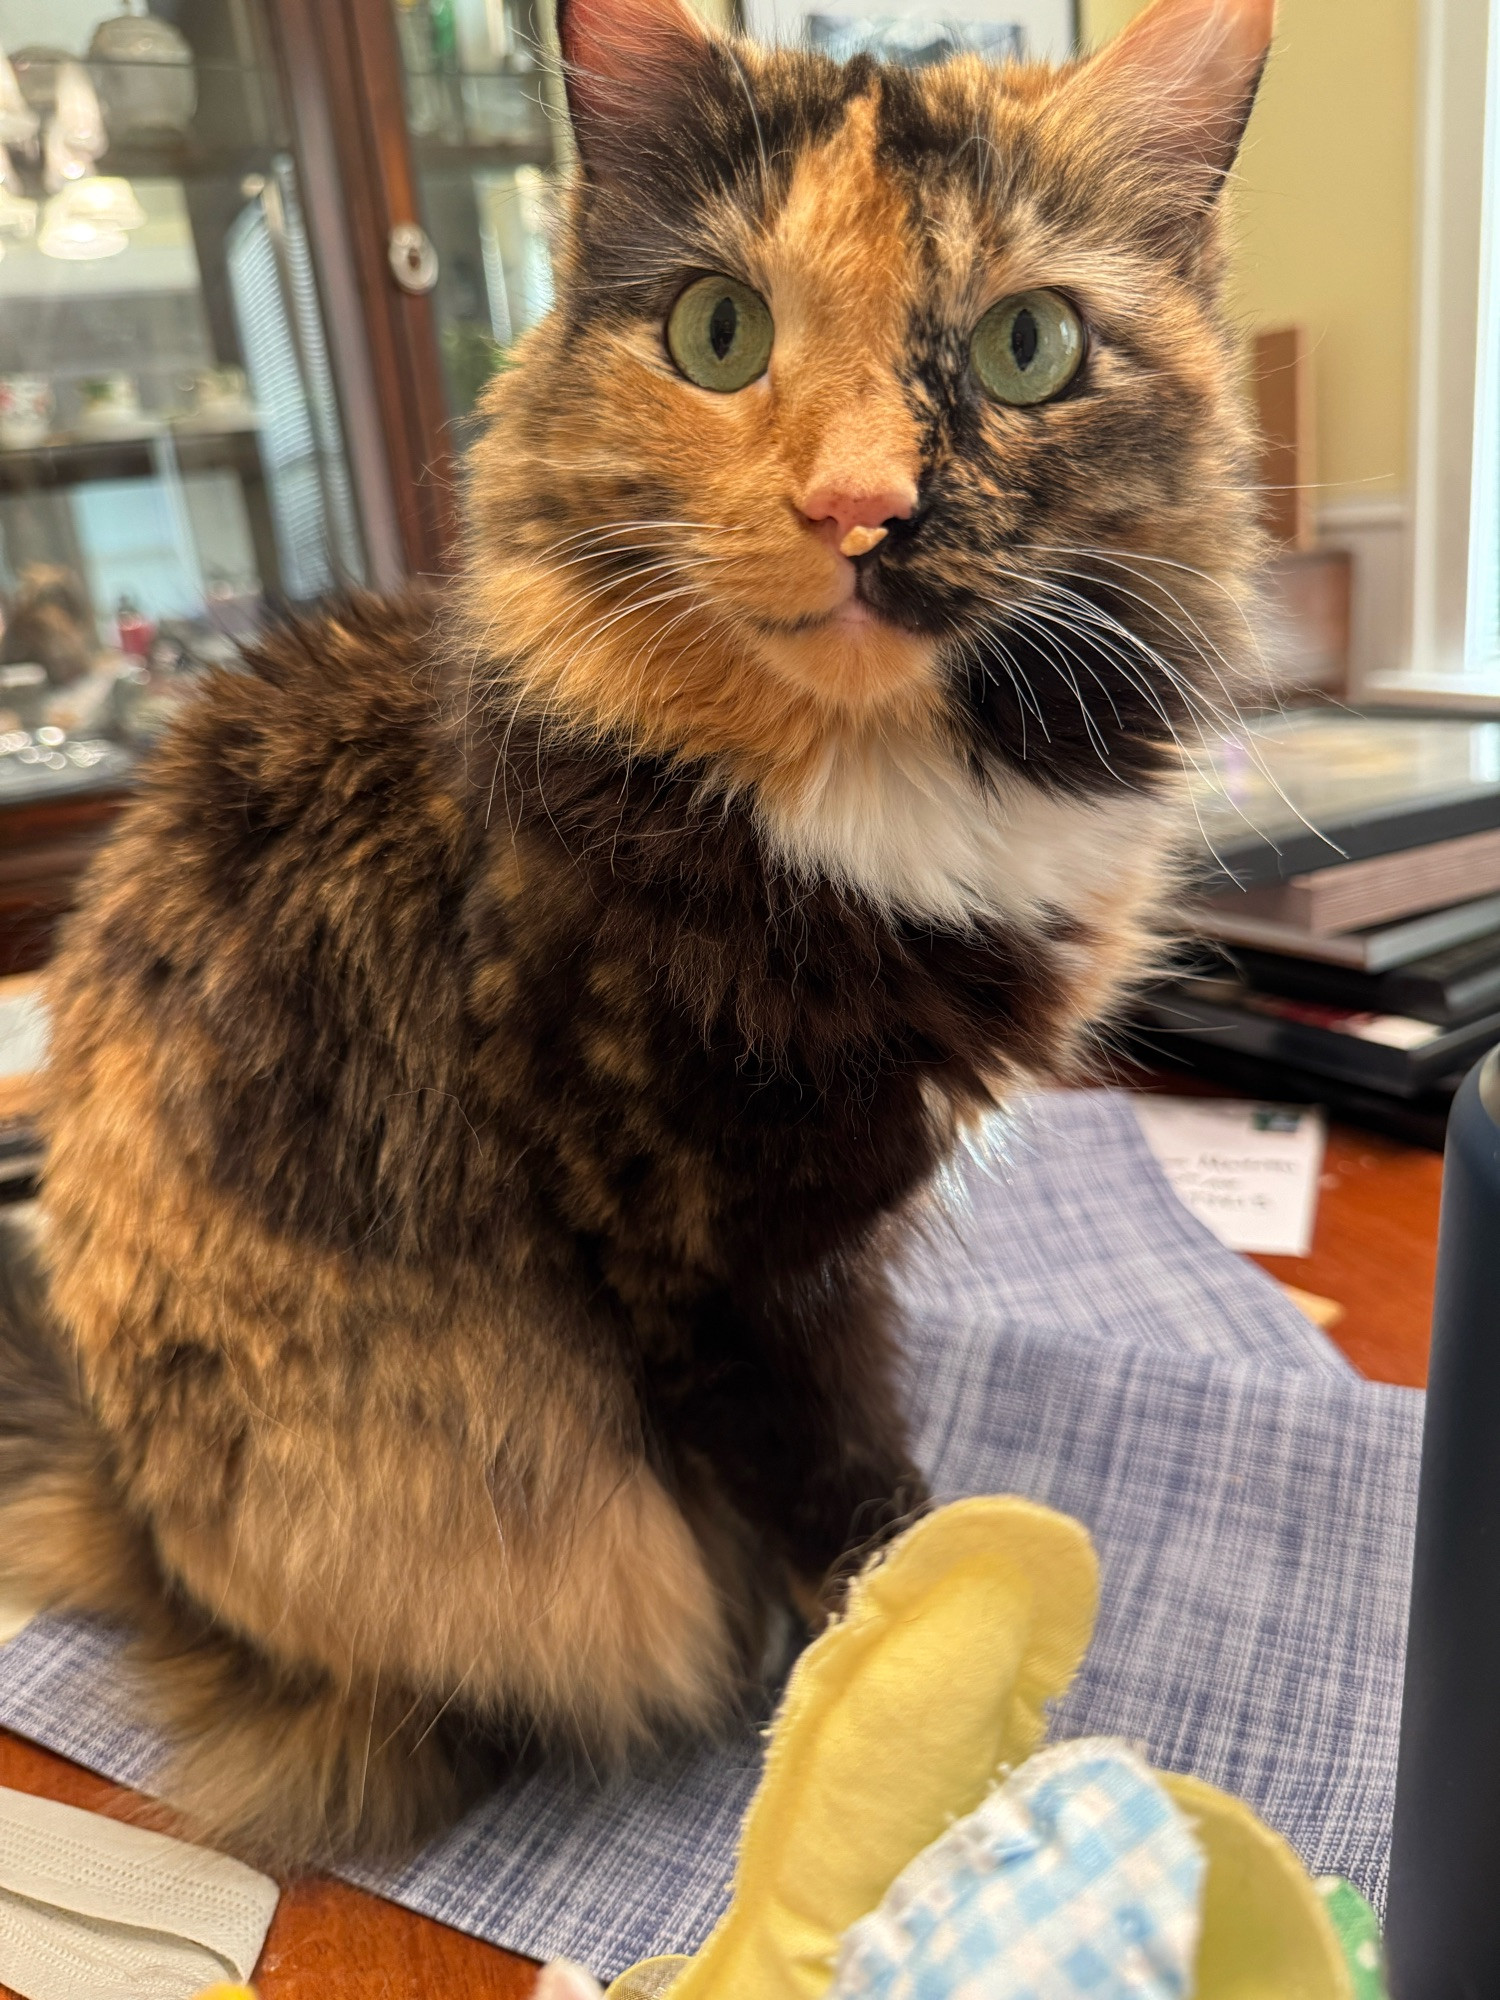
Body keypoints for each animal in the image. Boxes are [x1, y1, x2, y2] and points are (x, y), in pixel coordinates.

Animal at [0, 0, 1272, 1872]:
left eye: (1028, 346)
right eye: (718, 331)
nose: (857, 506)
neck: (863, 799)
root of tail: (128, 1511)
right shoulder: (707, 1260)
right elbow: (836, 1497)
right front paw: (908, 1710)